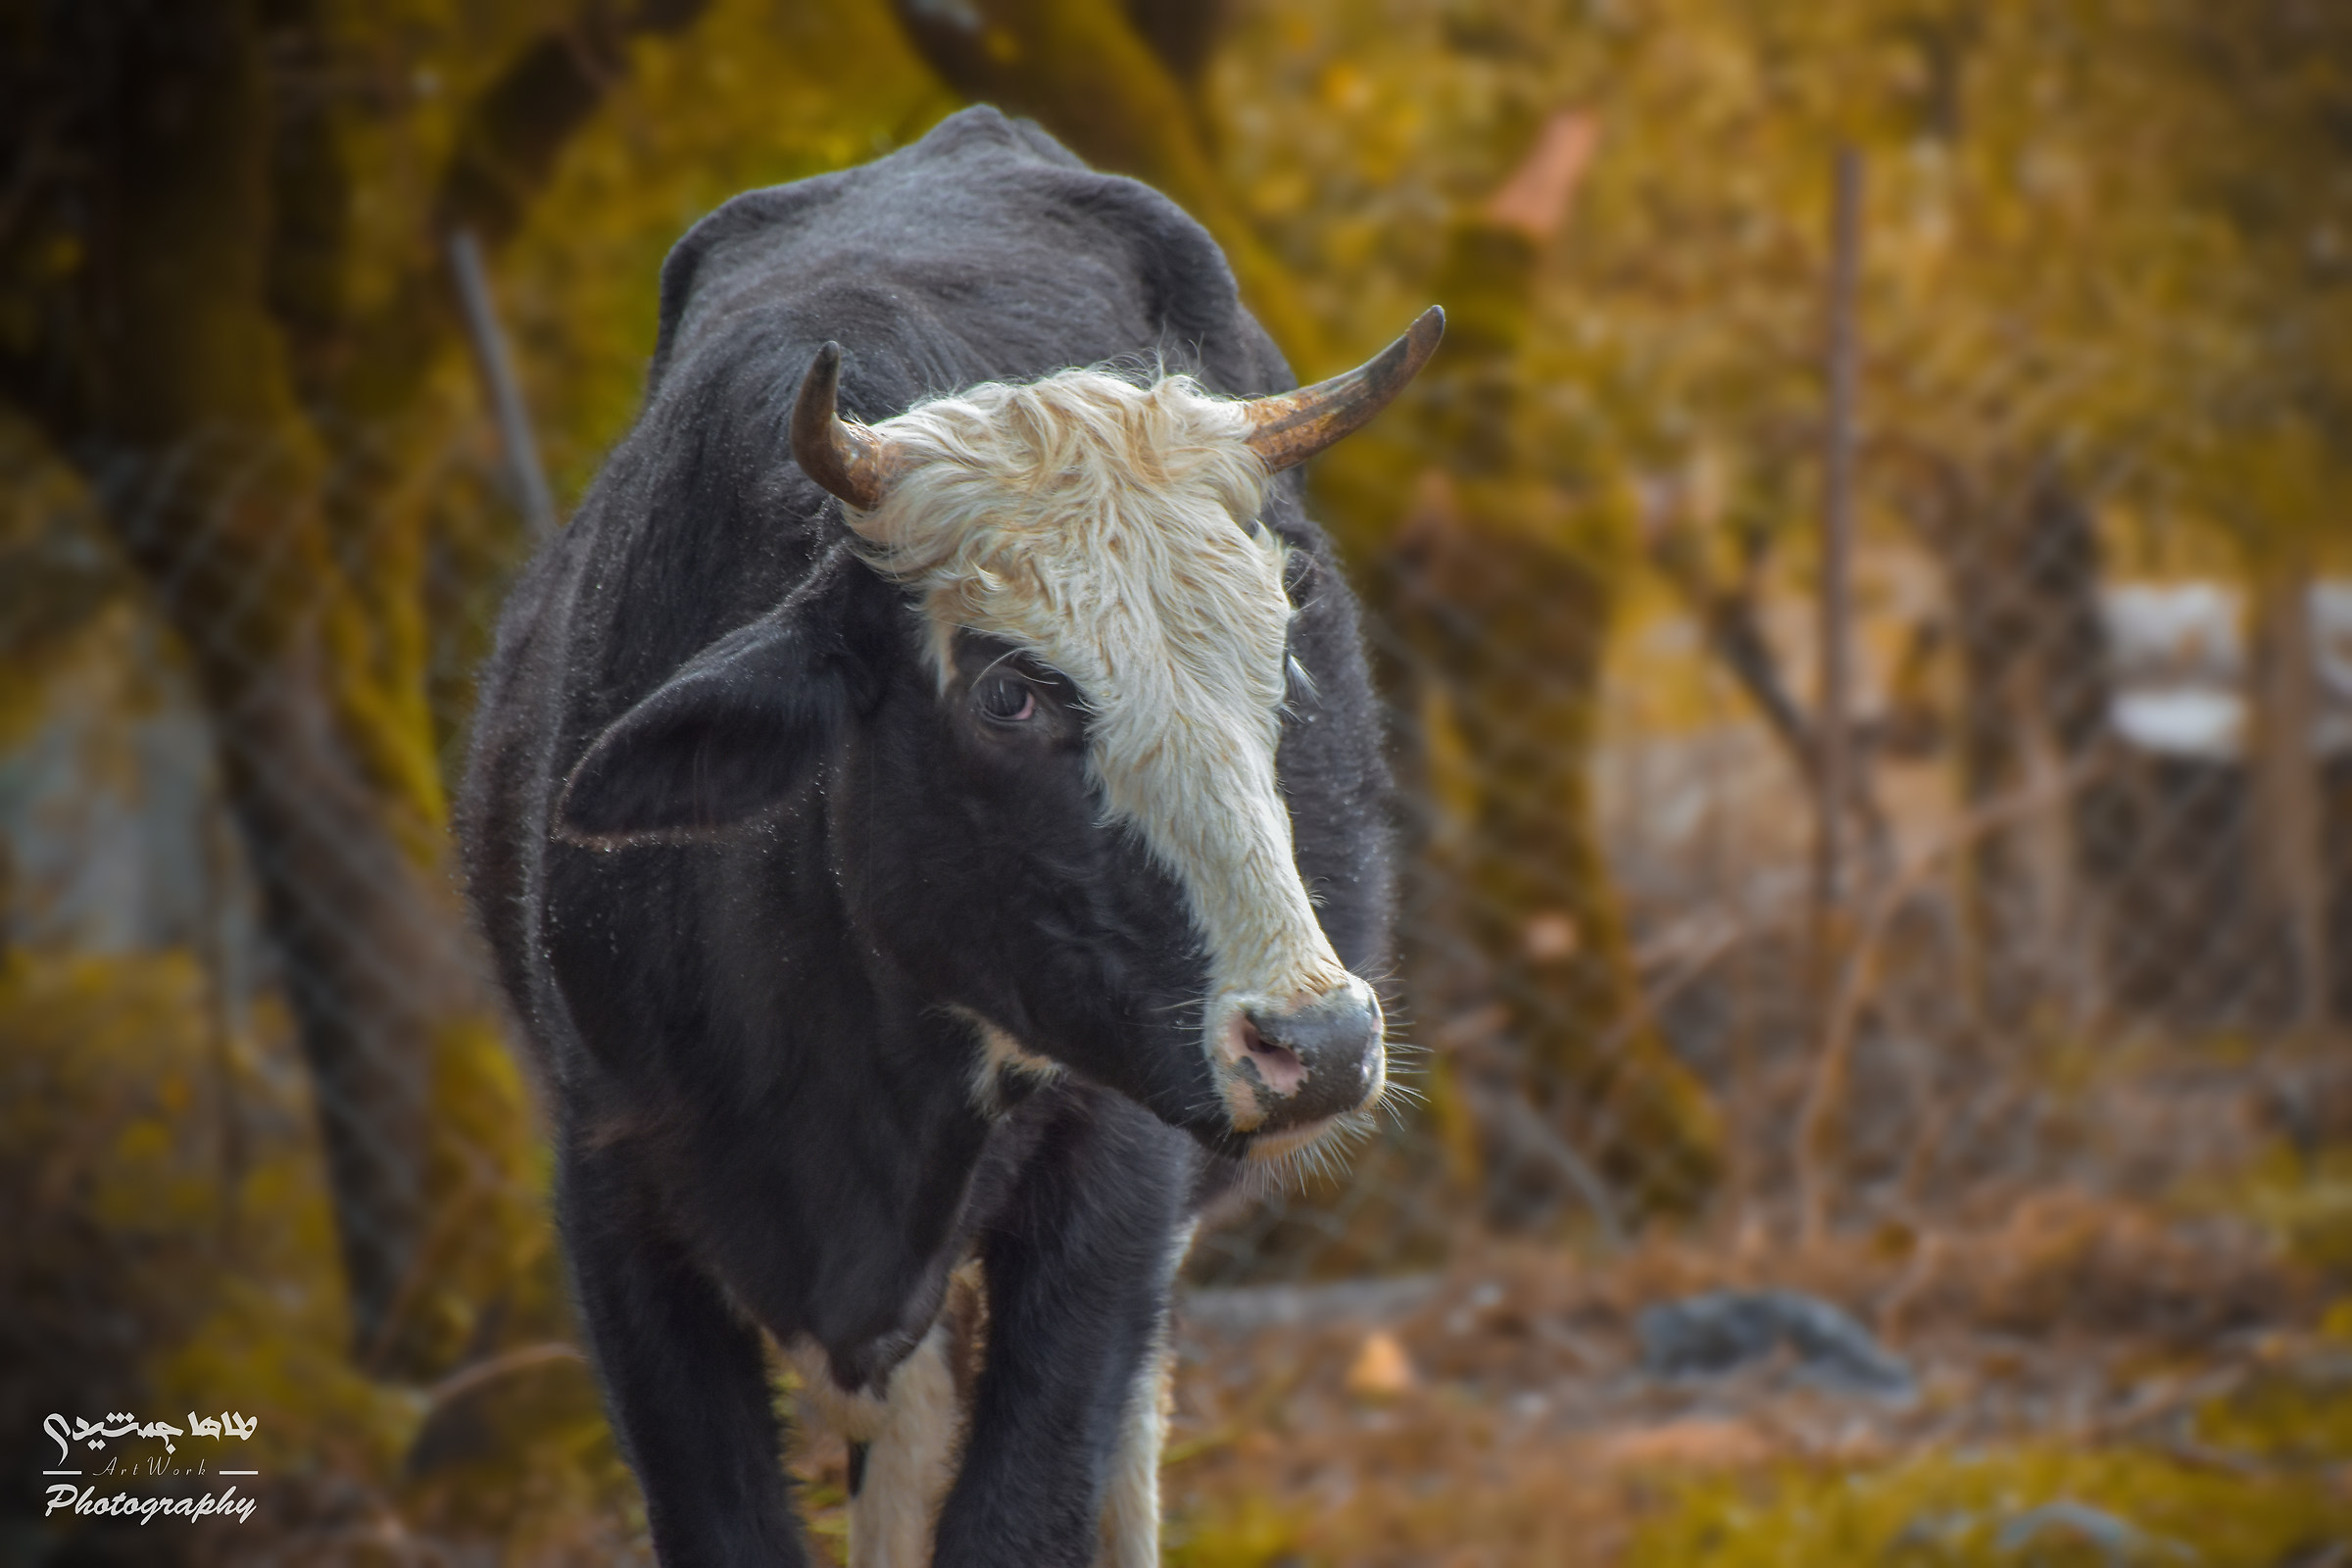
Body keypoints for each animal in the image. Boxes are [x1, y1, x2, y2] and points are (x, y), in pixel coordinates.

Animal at [459, 106, 1438, 1567]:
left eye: (1279, 647)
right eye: (1008, 693)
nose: (1315, 1043)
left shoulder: (1114, 1185)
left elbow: (1024, 1504)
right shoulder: (614, 1190)